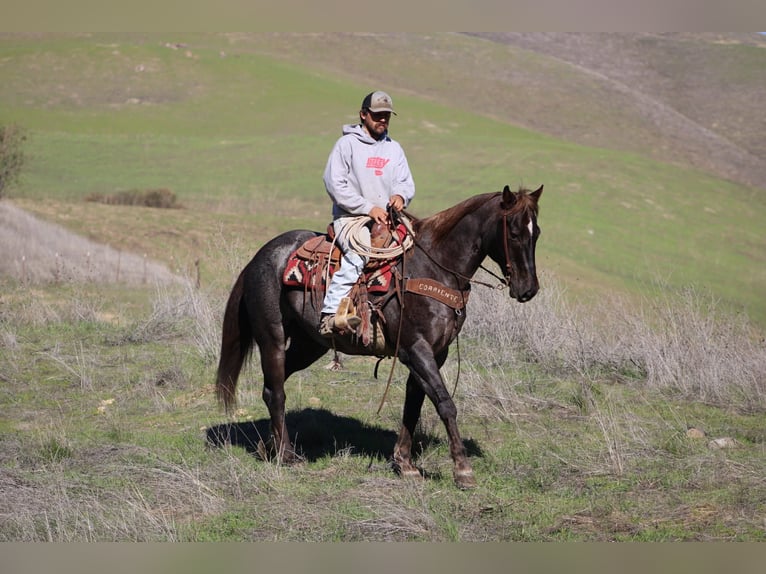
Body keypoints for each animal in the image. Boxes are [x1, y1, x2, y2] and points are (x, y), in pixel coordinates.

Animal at [215, 184, 543, 489]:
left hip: (309, 345)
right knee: (276, 391)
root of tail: (259, 258)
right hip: (272, 338)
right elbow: (445, 403)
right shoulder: (416, 349)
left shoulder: (434, 353)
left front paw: (404, 462)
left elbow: (414, 404)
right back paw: (286, 455)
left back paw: (269, 445)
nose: (528, 289)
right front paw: (462, 470)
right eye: (514, 233)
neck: (434, 267)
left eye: (536, 233)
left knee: (274, 384)